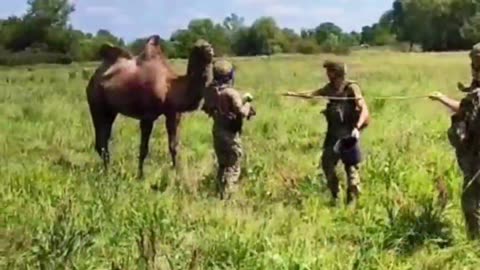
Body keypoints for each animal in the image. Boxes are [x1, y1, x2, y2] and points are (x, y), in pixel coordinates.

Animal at [86, 35, 214, 177]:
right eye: (197, 47)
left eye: (208, 44)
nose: (210, 50)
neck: (170, 87)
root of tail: (94, 76)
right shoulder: (147, 116)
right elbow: (144, 148)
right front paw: (140, 175)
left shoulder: (173, 114)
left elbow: (173, 146)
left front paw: (176, 173)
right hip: (96, 104)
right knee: (101, 141)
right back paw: (108, 172)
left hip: (110, 111)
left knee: (104, 139)